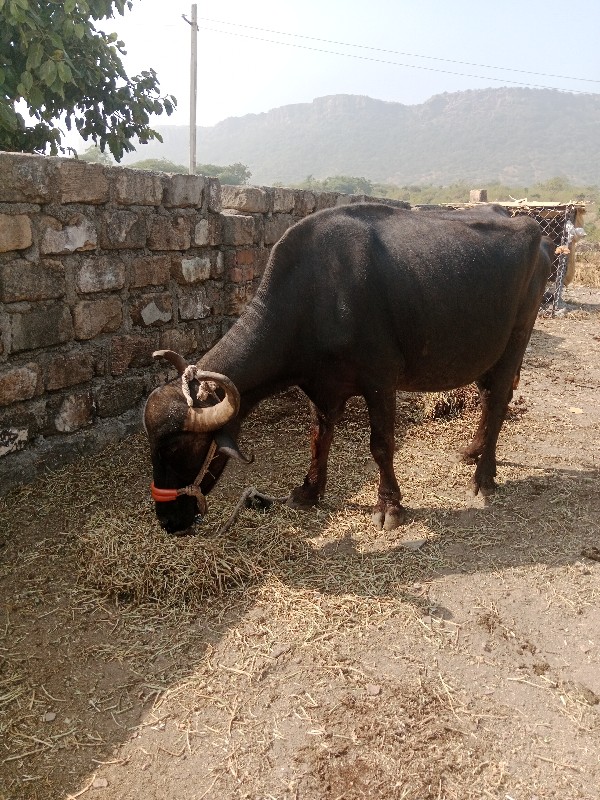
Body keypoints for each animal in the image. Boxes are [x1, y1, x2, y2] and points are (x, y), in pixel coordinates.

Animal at [143, 203, 552, 536]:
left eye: (179, 448)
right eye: (152, 446)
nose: (168, 521)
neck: (316, 296)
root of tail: (538, 235)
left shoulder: (380, 381)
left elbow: (382, 445)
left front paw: (389, 506)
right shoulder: (322, 388)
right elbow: (319, 438)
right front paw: (308, 491)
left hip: (517, 337)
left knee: (498, 400)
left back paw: (483, 477)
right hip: (487, 353)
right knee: (489, 395)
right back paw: (474, 452)